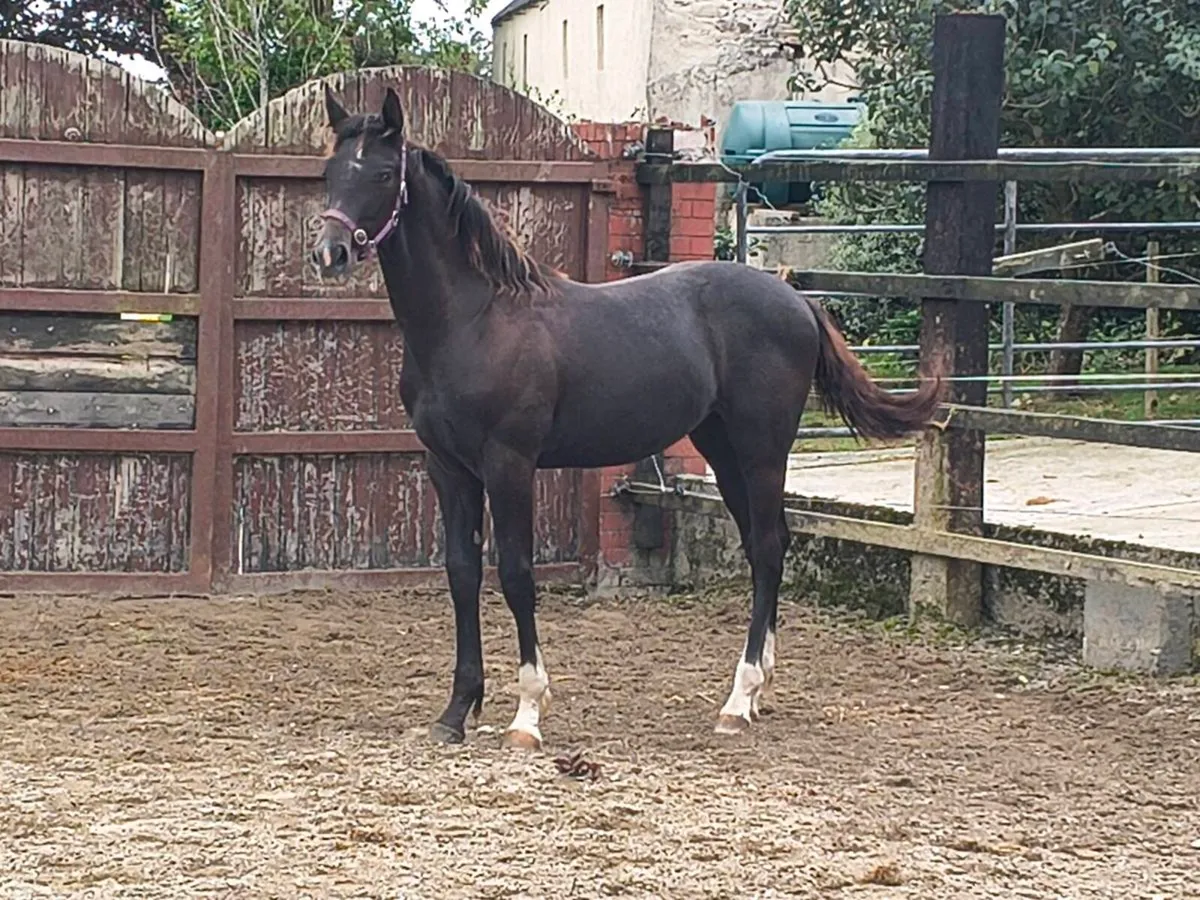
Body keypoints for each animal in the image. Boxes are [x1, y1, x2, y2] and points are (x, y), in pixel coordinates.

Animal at [310, 85, 940, 750]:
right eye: (330, 172)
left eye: (383, 174)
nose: (330, 252)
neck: (474, 321)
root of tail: (795, 298)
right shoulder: (447, 468)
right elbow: (461, 573)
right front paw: (457, 711)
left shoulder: (509, 466)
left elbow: (516, 573)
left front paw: (527, 715)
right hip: (721, 450)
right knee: (764, 545)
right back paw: (758, 688)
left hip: (763, 449)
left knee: (769, 548)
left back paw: (737, 700)